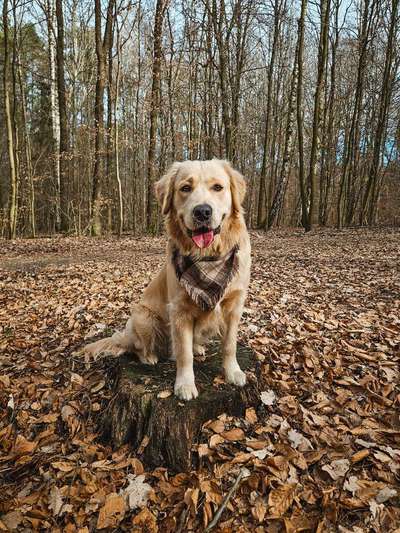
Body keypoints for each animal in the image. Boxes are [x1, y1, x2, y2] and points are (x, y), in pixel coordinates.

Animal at [85, 158, 250, 400]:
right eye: (185, 188)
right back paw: (150, 357)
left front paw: (233, 372)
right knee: (139, 348)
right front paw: (185, 385)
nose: (202, 212)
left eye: (218, 187)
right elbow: (183, 354)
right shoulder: (179, 310)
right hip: (143, 317)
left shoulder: (234, 306)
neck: (208, 257)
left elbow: (229, 345)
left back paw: (198, 347)